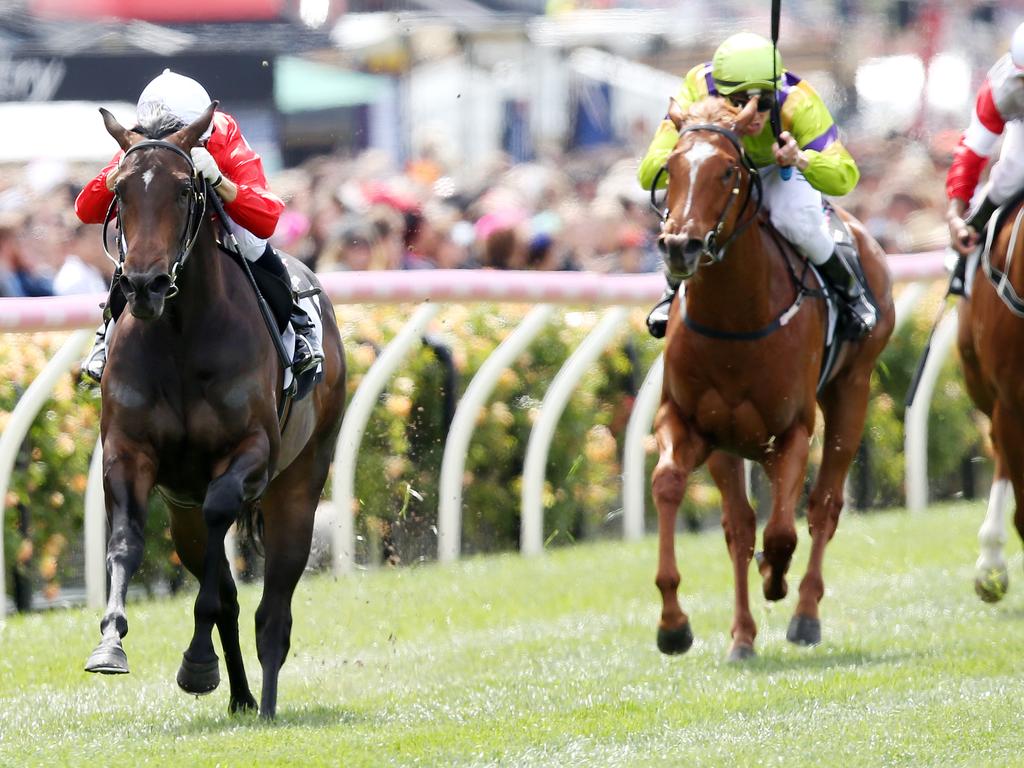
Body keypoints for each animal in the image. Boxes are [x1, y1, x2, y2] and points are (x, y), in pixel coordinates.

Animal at [83, 105, 348, 720]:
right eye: (119, 190)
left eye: (185, 189)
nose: (145, 284)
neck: (181, 335)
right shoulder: (129, 452)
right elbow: (126, 541)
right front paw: (110, 643)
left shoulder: (250, 452)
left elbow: (221, 527)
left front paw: (197, 660)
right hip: (181, 510)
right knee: (224, 581)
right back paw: (243, 698)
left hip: (298, 485)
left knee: (274, 607)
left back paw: (267, 703)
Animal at [651, 96, 892, 663]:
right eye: (670, 166)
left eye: (727, 170)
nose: (679, 246)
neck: (735, 319)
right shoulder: (690, 422)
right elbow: (669, 485)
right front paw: (673, 624)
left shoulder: (792, 429)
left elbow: (783, 529)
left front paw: (775, 578)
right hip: (730, 442)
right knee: (738, 526)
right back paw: (742, 636)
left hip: (852, 390)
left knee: (824, 507)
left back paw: (804, 613)